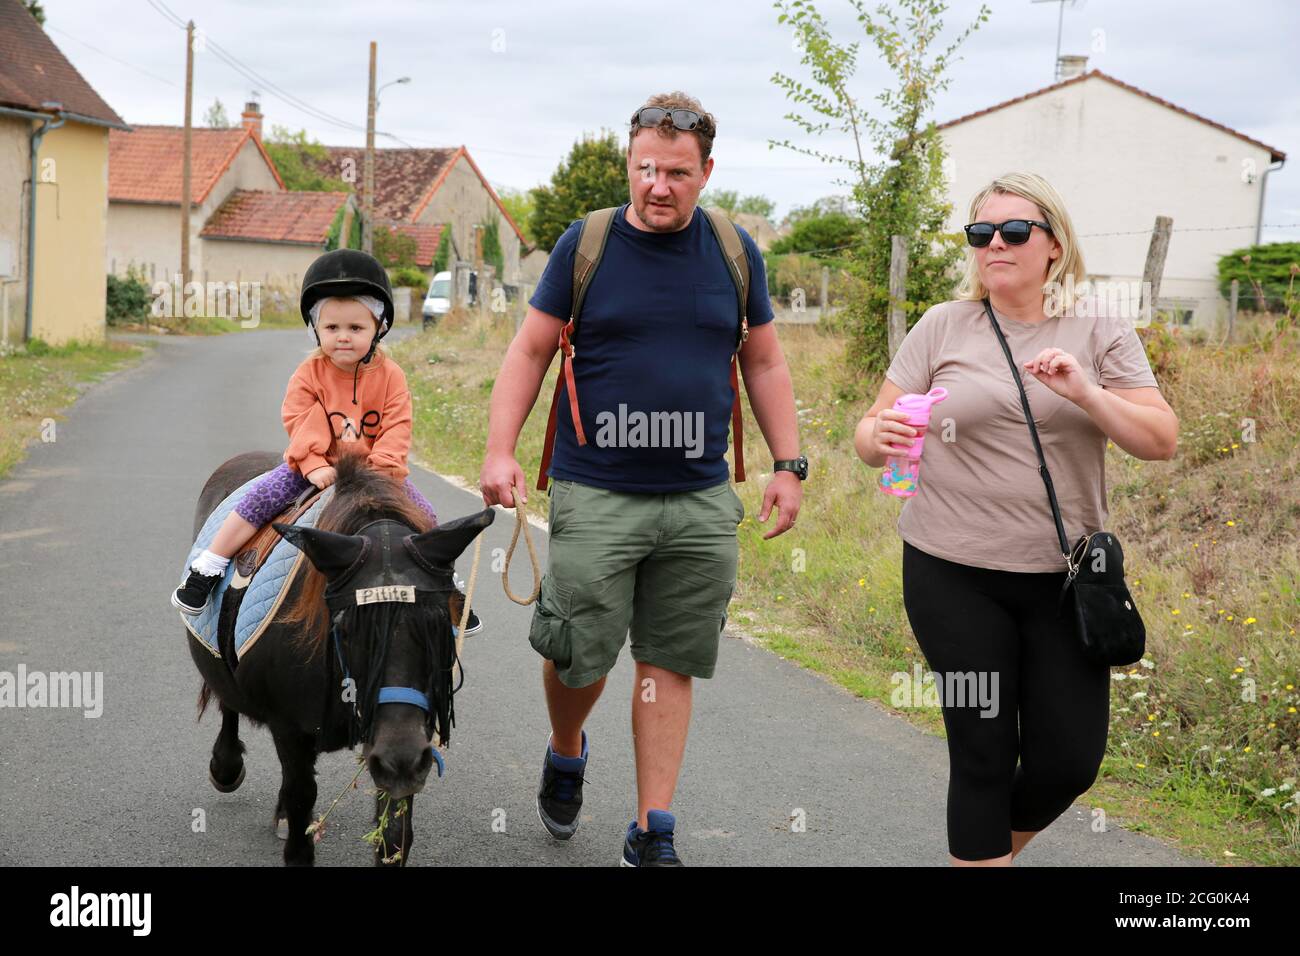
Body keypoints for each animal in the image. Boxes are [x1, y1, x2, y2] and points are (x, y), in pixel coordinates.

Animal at [182, 450, 488, 868]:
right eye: (345, 629)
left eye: (440, 625)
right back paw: (226, 767)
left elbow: (394, 830)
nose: (402, 761)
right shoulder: (288, 727)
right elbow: (301, 795)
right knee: (227, 701)